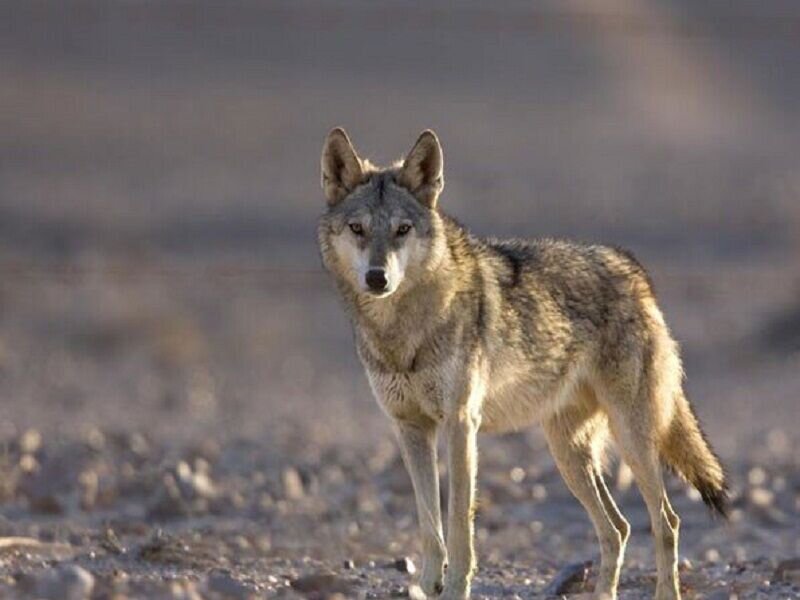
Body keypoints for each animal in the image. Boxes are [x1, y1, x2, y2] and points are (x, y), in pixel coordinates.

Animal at [316, 129, 728, 596]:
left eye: (402, 230)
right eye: (358, 229)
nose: (377, 278)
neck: (401, 330)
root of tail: (633, 270)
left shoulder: (460, 424)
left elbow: (458, 525)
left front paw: (456, 588)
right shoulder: (410, 428)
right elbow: (429, 523)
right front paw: (429, 584)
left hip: (632, 441)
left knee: (666, 522)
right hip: (568, 454)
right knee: (618, 527)